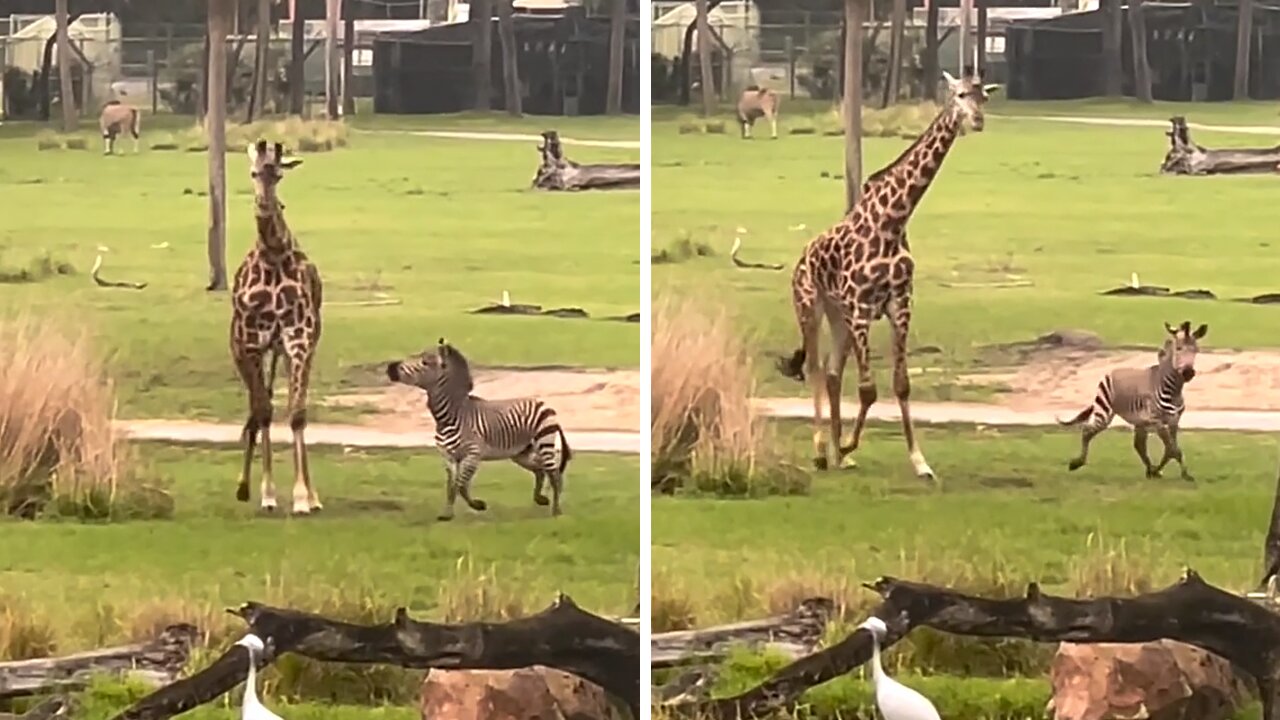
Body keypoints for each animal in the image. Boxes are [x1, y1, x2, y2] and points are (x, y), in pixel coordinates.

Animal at [232, 137, 327, 512]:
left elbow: (297, 412)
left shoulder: (298, 339)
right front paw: (267, 493)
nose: (262, 206)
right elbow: (263, 412)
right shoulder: (250, 343)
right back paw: (244, 486)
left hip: (289, 350)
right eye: (253, 172)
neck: (272, 253)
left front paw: (303, 497)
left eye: (279, 173)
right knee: (257, 409)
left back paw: (312, 496)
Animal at [381, 335, 573, 515]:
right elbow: (451, 487)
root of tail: (544, 404)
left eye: (425, 363)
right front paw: (446, 514)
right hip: (521, 453)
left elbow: (461, 486)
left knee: (554, 475)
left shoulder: (472, 455)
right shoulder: (448, 457)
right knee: (540, 471)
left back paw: (556, 511)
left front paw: (478, 505)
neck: (450, 415)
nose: (391, 367)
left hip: (544, 444)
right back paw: (541, 499)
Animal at [773, 71, 993, 481]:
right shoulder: (863, 309)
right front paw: (847, 444)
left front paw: (919, 462)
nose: (977, 120)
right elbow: (868, 390)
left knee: (831, 372)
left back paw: (837, 454)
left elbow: (901, 385)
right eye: (959, 94)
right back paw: (821, 450)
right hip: (810, 308)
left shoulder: (899, 305)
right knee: (814, 368)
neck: (893, 221)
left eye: (982, 97)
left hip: (839, 317)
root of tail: (801, 258)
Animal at [1059, 320, 1208, 479]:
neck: (1173, 390)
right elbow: (1173, 449)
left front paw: (1160, 471)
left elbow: (1171, 449)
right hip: (1105, 412)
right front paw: (1179, 474)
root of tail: (1113, 370)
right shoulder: (1157, 421)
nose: (1188, 373)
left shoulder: (1174, 421)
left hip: (1140, 421)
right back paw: (1077, 463)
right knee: (1087, 430)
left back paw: (1150, 469)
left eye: (1196, 350)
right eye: (1178, 348)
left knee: (1139, 445)